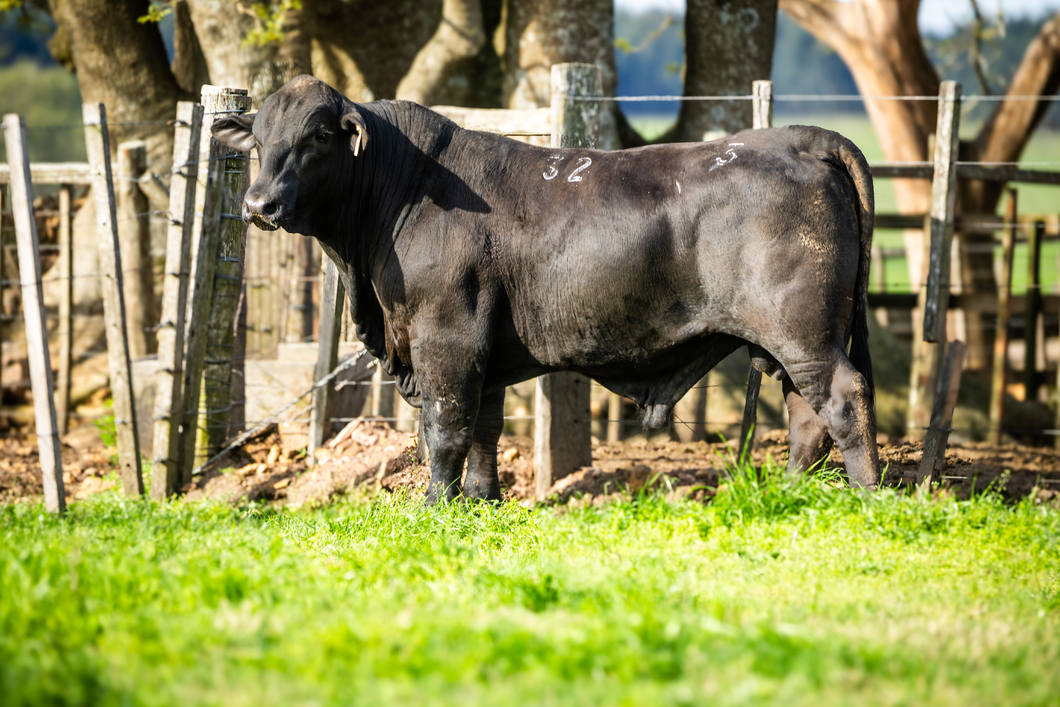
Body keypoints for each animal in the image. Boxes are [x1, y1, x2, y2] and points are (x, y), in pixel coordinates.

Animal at [210, 74, 881, 500]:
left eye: (319, 135)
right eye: (260, 140)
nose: (259, 204)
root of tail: (796, 136)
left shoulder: (447, 341)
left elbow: (445, 432)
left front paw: (433, 508)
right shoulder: (481, 352)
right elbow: (483, 433)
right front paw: (479, 506)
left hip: (802, 332)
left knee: (842, 400)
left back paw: (870, 497)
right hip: (787, 345)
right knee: (806, 417)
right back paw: (788, 496)